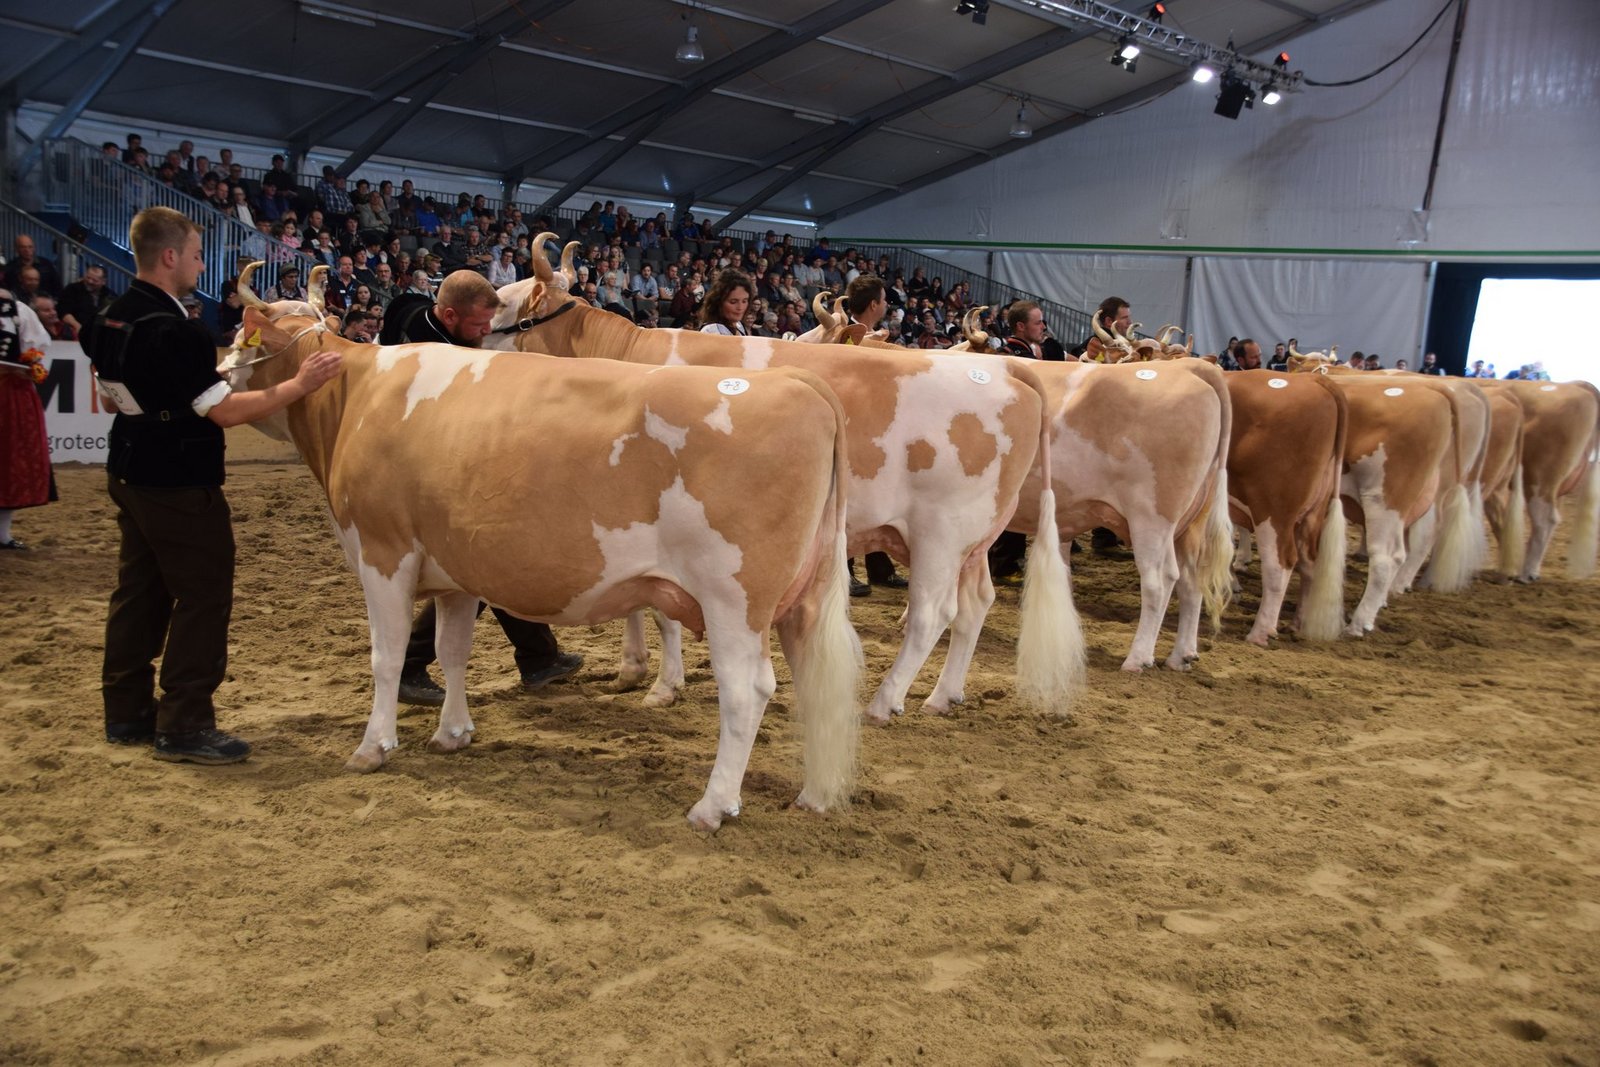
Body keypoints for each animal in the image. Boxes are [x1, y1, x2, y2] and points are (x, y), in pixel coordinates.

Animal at [220, 264, 861, 832]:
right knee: (815, 682)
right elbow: (452, 651)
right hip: (802, 599)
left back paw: (713, 806)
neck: (356, 397)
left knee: (747, 691)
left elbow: (385, 656)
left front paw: (373, 746)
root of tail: (800, 383)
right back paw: (813, 797)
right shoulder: (456, 570)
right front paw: (452, 733)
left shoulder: (383, 552)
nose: (215, 374)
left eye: (240, 338)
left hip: (735, 599)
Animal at [487, 237, 1084, 724]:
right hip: (974, 536)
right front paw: (633, 669)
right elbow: (636, 600)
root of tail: (1009, 370)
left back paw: (884, 702)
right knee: (976, 603)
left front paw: (662, 685)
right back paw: (943, 695)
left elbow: (661, 612)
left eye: (501, 304)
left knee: (933, 614)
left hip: (942, 530)